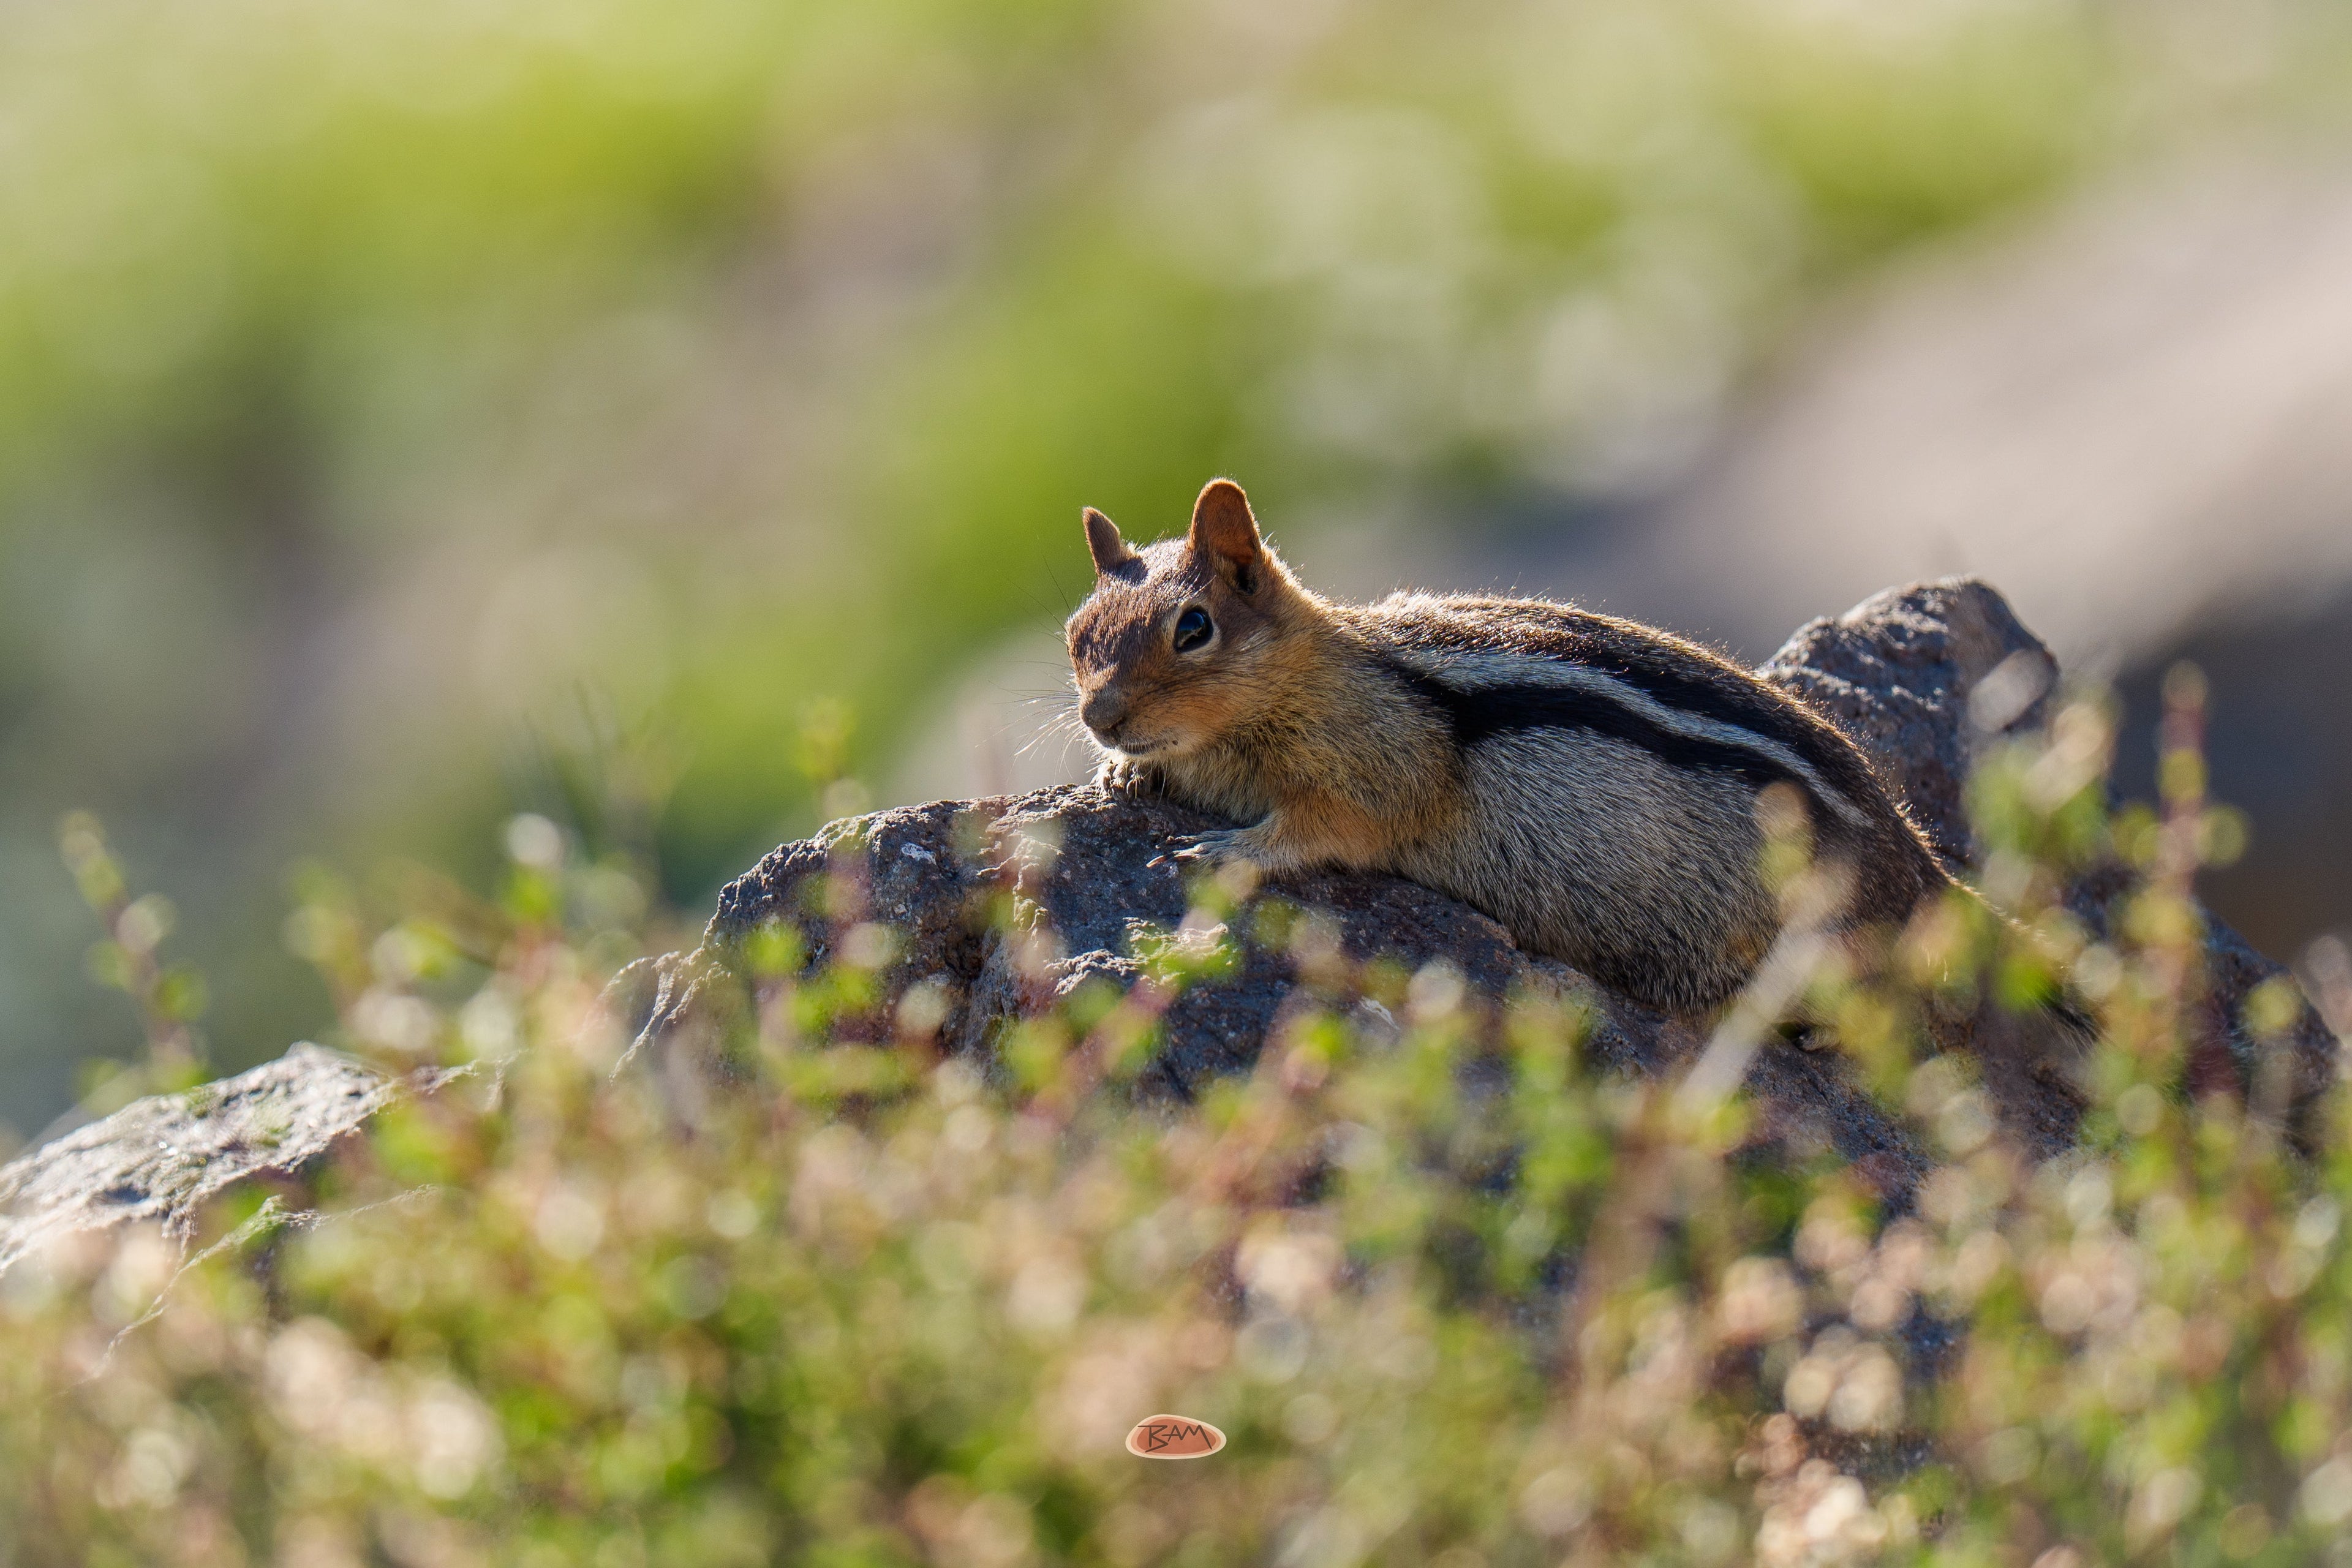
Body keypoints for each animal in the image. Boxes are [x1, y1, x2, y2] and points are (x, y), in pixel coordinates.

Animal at [1063, 477, 2021, 1026]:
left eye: (1194, 629)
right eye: (1076, 634)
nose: (1101, 718)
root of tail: (1917, 864)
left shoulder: (1380, 759)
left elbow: (1332, 825)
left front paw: (1231, 848)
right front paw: (1123, 769)